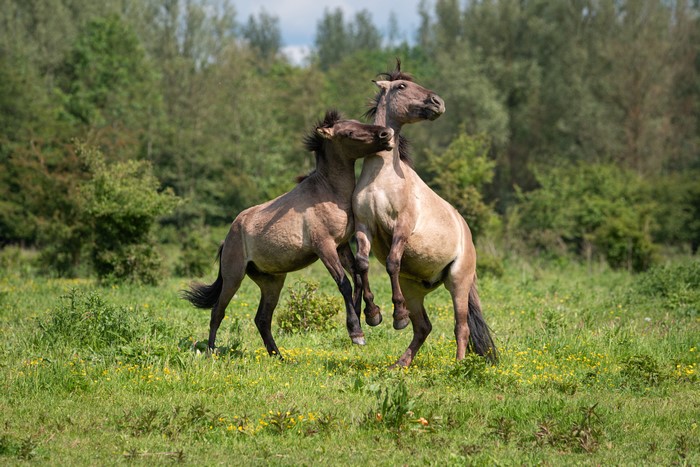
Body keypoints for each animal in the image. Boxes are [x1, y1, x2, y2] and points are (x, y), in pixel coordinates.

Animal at [183, 110, 394, 357]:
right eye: (349, 132)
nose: (386, 134)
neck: (328, 193)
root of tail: (228, 238)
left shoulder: (341, 245)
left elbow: (358, 277)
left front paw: (372, 316)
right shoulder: (325, 247)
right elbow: (344, 284)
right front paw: (356, 333)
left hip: (272, 283)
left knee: (262, 319)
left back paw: (280, 357)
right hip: (233, 277)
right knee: (218, 311)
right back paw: (210, 352)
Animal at [353, 61, 497, 367]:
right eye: (401, 86)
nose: (438, 102)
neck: (382, 178)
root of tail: (467, 235)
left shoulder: (402, 227)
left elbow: (392, 262)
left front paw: (397, 316)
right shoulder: (363, 226)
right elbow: (362, 264)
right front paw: (373, 314)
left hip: (458, 283)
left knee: (461, 326)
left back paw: (458, 365)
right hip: (414, 288)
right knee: (423, 327)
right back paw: (399, 364)